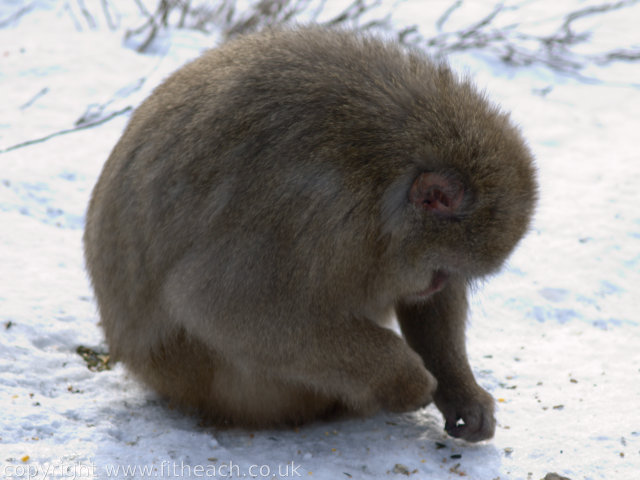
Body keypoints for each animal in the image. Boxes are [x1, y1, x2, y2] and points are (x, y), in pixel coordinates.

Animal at [84, 25, 536, 442]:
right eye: (439, 269)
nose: (435, 283)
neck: (381, 176)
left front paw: (462, 393)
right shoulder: (316, 214)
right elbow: (219, 305)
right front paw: (406, 379)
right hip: (228, 388)